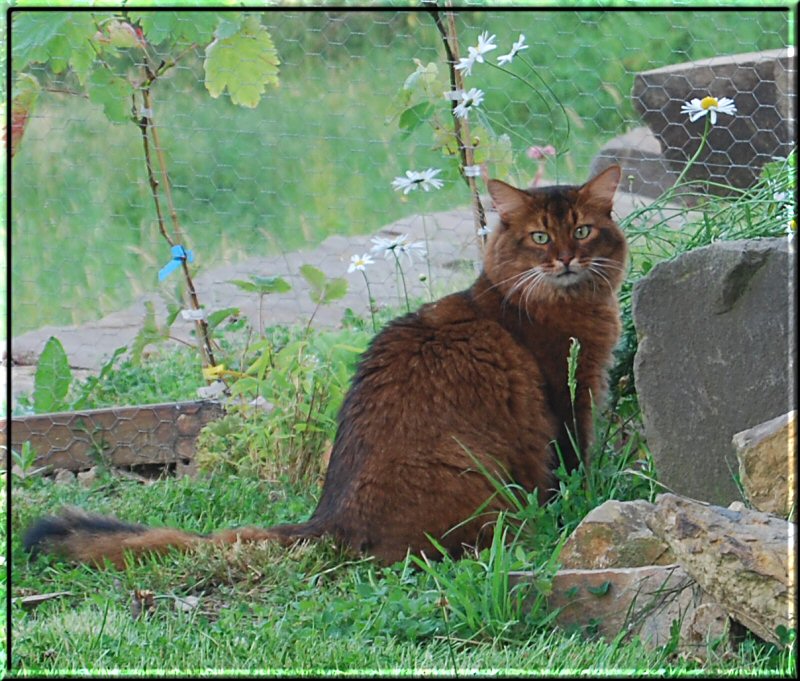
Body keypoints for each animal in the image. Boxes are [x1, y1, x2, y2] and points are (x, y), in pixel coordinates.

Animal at [21, 165, 628, 568]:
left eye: (582, 230)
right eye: (540, 237)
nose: (566, 259)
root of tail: (331, 520)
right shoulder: (565, 396)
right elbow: (571, 465)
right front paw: (579, 503)